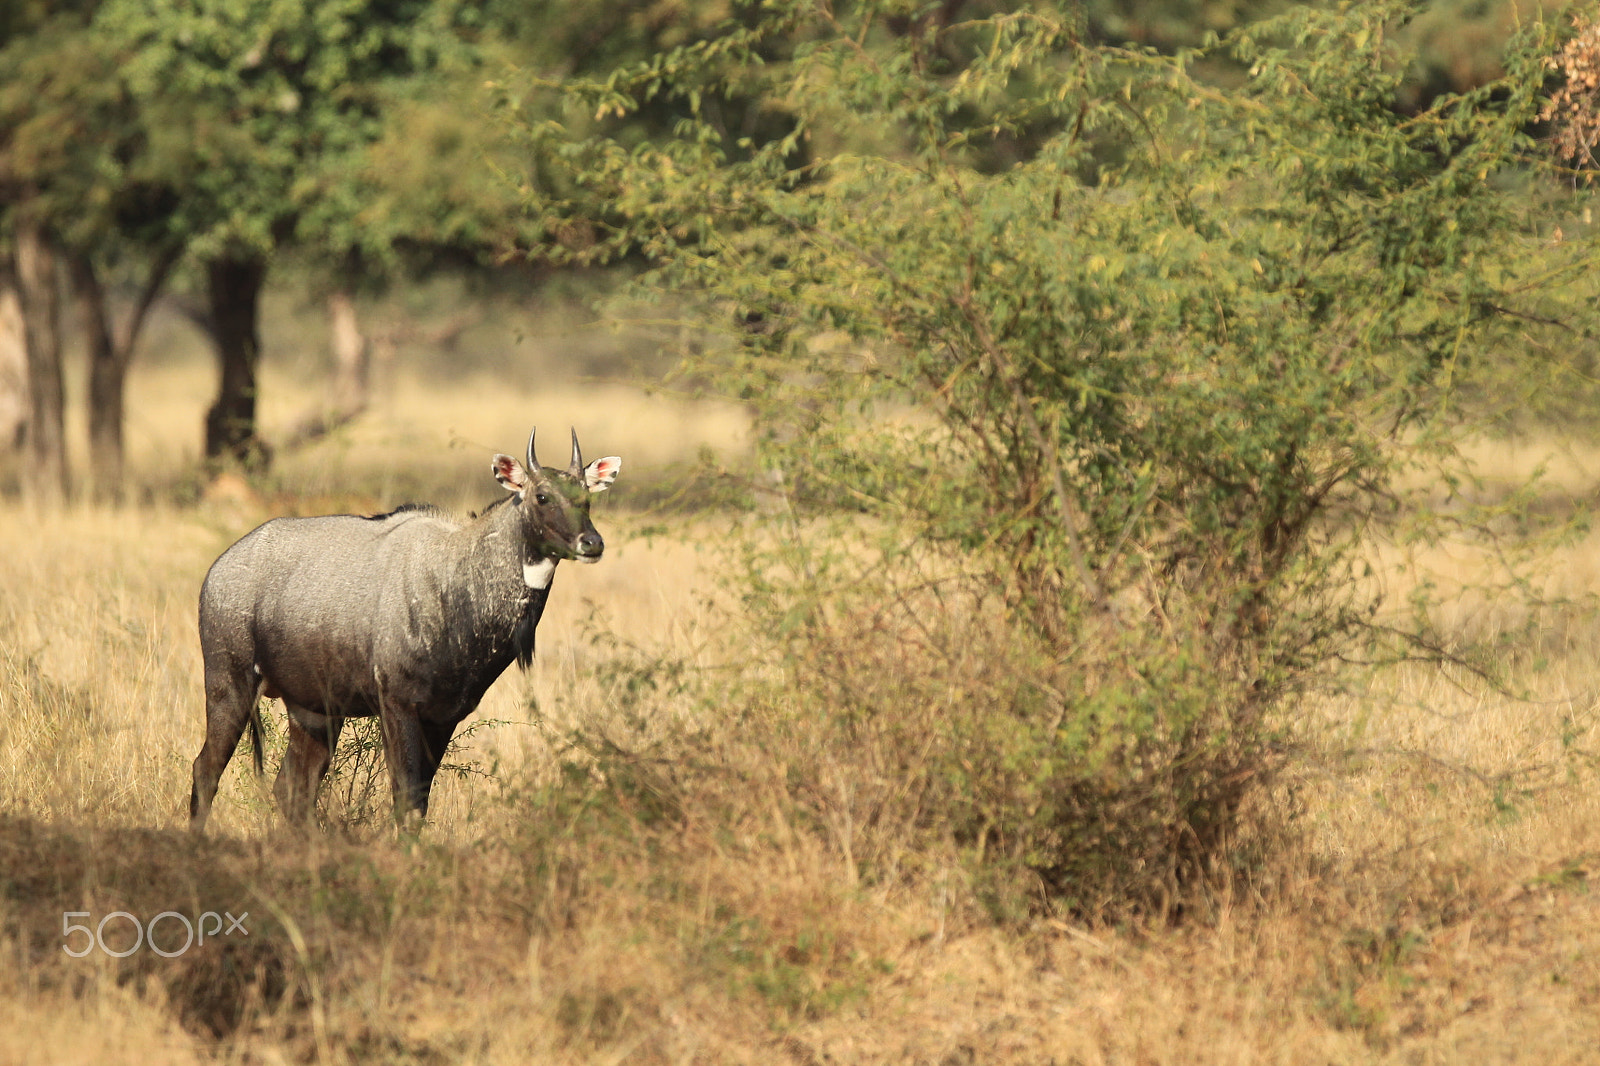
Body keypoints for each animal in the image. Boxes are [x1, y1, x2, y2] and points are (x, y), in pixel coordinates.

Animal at [184, 428, 614, 825]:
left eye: (586, 496)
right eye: (542, 496)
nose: (592, 543)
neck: (456, 577)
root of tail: (219, 569)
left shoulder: (444, 716)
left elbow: (419, 803)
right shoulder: (398, 704)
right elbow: (405, 800)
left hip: (314, 711)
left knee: (292, 788)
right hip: (230, 685)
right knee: (206, 769)